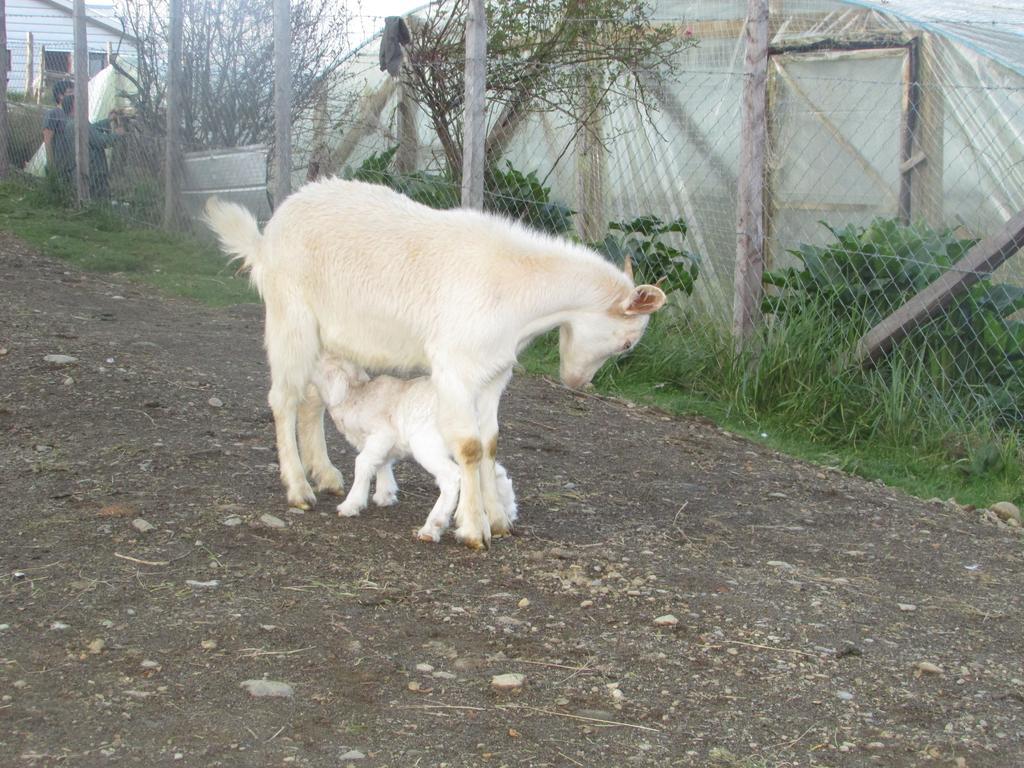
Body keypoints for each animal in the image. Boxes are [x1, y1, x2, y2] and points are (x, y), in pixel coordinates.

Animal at [311, 360, 516, 544]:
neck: (356, 395)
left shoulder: (381, 434)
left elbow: (363, 463)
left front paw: (350, 505)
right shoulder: (382, 445)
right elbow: (382, 463)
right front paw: (385, 495)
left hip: (426, 444)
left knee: (452, 476)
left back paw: (432, 527)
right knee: (490, 468)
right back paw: (506, 510)